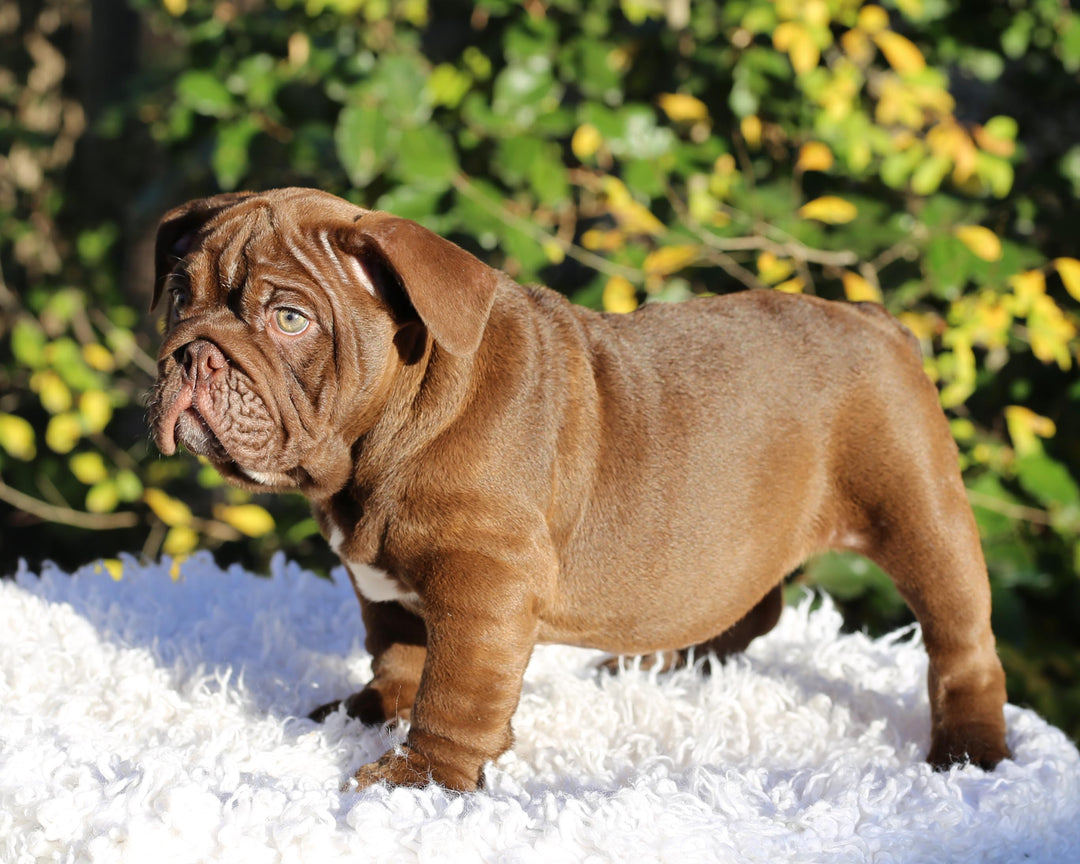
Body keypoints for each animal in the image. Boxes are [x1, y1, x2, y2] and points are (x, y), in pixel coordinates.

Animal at [152, 189, 1010, 790]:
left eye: (289, 318)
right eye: (178, 297)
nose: (194, 355)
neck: (386, 435)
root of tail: (876, 320)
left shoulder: (485, 584)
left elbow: (454, 690)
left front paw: (421, 777)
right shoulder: (382, 581)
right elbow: (396, 652)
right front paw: (368, 712)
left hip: (918, 512)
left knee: (961, 643)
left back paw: (970, 753)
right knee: (749, 605)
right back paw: (666, 662)